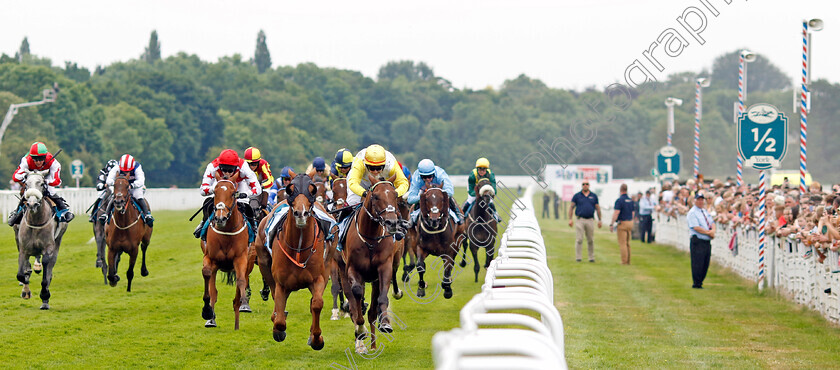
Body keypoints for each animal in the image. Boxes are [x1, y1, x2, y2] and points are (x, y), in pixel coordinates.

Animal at [14, 171, 67, 310]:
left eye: (42, 184)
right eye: (26, 184)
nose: (32, 204)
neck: (35, 221)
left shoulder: (48, 248)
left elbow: (46, 271)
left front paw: (45, 295)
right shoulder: (23, 249)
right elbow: (21, 274)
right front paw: (25, 290)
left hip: (58, 242)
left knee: (50, 269)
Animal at [203, 176, 251, 330]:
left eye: (233, 193)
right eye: (215, 192)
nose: (220, 218)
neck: (227, 232)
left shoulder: (241, 259)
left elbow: (241, 281)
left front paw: (244, 303)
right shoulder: (210, 258)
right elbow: (207, 275)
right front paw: (207, 311)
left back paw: (237, 323)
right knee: (214, 291)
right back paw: (211, 319)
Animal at [266, 175, 328, 348]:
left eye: (312, 190)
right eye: (290, 190)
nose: (301, 213)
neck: (299, 249)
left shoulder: (318, 278)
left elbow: (317, 303)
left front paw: (316, 338)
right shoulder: (281, 283)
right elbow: (280, 320)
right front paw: (278, 330)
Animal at [334, 175, 400, 354]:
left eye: (395, 195)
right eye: (376, 196)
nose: (391, 222)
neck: (370, 238)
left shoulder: (384, 267)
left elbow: (382, 298)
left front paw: (385, 323)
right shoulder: (353, 269)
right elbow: (356, 297)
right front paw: (360, 330)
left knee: (371, 312)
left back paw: (372, 344)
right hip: (341, 269)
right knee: (353, 304)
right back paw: (360, 341)